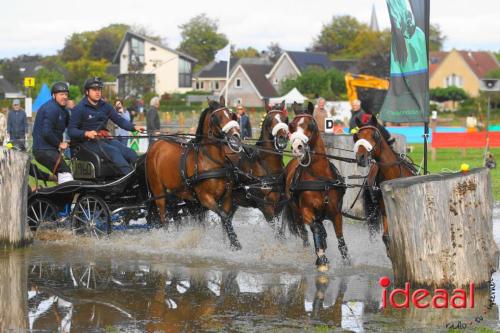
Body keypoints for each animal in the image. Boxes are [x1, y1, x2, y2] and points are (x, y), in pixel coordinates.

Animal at [146, 96, 244, 249]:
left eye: (231, 114)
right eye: (216, 117)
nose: (235, 135)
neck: (211, 161)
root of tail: (155, 145)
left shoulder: (227, 197)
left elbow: (225, 218)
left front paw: (229, 244)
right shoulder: (205, 198)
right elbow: (224, 216)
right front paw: (236, 243)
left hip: (176, 192)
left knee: (173, 212)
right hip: (158, 191)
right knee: (163, 216)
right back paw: (167, 239)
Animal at [284, 101, 350, 270]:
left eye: (311, 125)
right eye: (291, 126)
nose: (297, 148)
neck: (320, 179)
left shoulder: (336, 213)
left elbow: (341, 239)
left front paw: (347, 261)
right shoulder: (306, 211)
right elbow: (315, 228)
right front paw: (321, 259)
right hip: (297, 215)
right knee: (306, 234)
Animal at [354, 113, 420, 250]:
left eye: (374, 135)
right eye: (357, 136)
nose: (361, 157)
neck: (391, 174)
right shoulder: (385, 210)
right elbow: (387, 237)